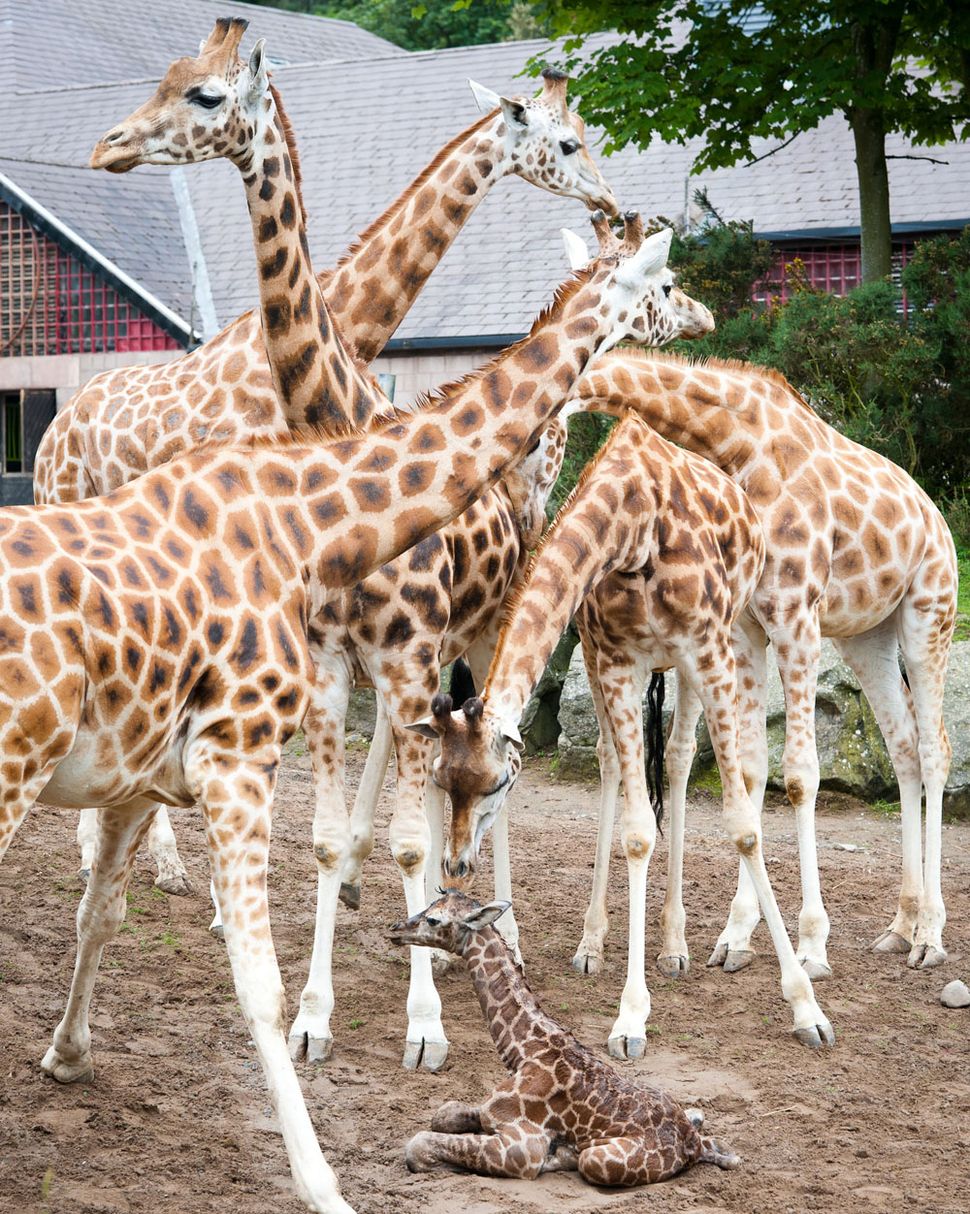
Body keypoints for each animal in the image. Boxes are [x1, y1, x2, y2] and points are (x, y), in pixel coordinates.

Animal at [0, 213, 699, 1209]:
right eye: (667, 282)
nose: (705, 318)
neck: (310, 522)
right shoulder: (240, 749)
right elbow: (261, 974)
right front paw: (327, 1171)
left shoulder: (150, 767)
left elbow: (103, 911)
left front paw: (67, 1055)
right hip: (17, 766)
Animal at [390, 893, 738, 1184]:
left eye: (433, 920)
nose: (395, 928)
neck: (527, 1050)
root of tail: (691, 1145)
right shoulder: (488, 1113)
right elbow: (442, 1114)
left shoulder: (522, 1148)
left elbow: (417, 1145)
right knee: (706, 1127)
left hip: (598, 1160)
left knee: (588, 1160)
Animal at [407, 407, 835, 1053]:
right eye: (440, 780)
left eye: (497, 785)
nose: (456, 867)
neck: (636, 529)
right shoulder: (613, 660)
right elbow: (635, 832)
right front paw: (631, 1014)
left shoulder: (706, 650)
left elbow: (743, 826)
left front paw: (805, 1006)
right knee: (613, 764)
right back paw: (594, 943)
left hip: (710, 650)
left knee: (680, 760)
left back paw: (677, 946)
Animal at [565, 347, 961, 971]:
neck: (737, 445)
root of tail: (938, 520)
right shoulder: (746, 629)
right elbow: (752, 772)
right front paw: (736, 935)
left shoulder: (796, 618)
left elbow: (798, 775)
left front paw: (811, 944)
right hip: (868, 636)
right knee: (903, 747)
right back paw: (901, 924)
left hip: (929, 613)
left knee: (935, 748)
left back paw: (930, 936)